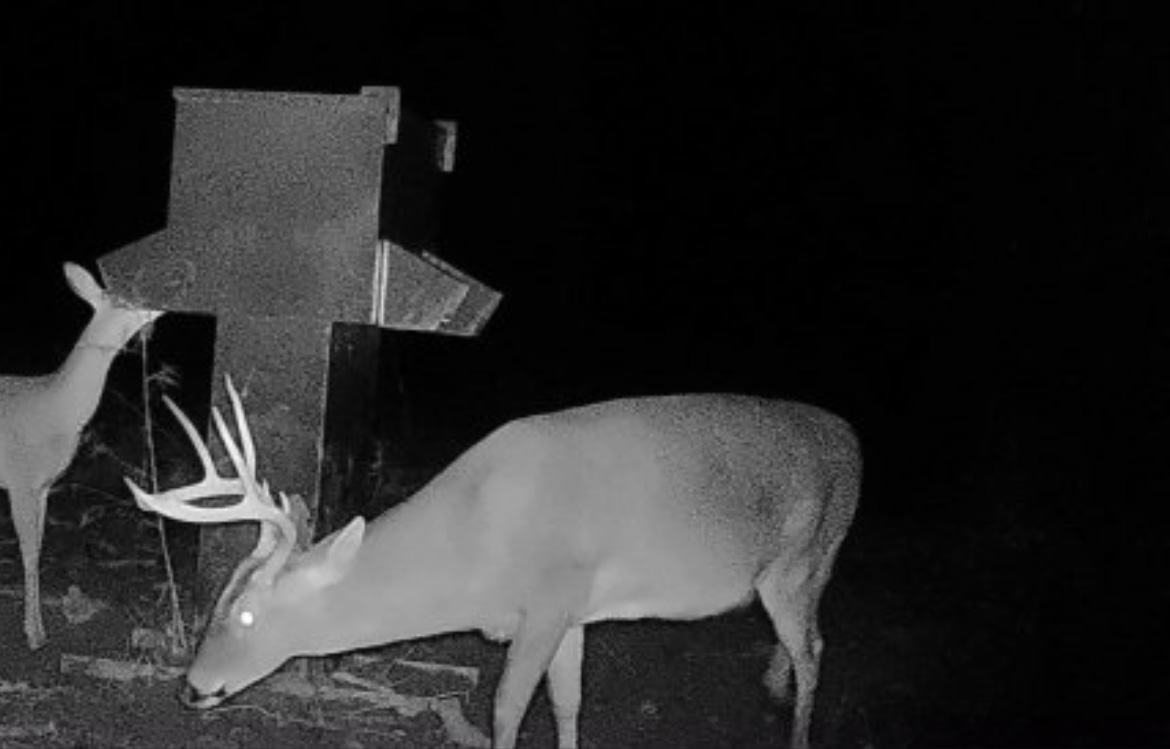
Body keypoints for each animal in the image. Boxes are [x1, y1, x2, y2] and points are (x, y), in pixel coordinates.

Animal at [1, 262, 159, 649]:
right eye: (127, 300)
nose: (159, 309)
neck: (56, 410)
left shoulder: (43, 486)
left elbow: (39, 547)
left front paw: (37, 629)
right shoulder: (20, 479)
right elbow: (28, 551)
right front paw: (34, 635)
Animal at [127, 376, 860, 748]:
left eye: (249, 614)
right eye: (220, 602)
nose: (192, 687)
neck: (476, 551)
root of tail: (853, 439)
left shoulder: (549, 600)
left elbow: (507, 708)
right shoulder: (573, 611)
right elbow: (567, 703)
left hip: (797, 561)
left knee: (816, 648)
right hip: (809, 564)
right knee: (804, 645)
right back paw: (772, 688)